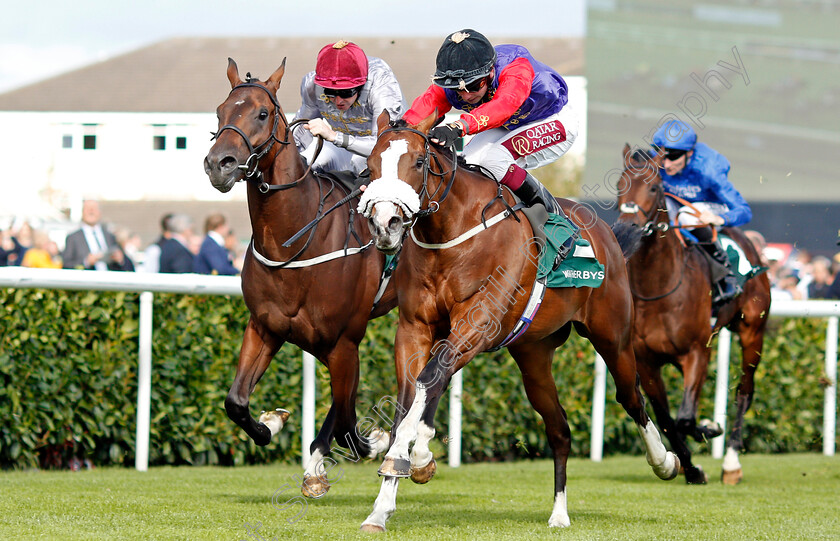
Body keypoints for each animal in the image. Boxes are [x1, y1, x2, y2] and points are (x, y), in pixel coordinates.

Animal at [202, 58, 396, 494]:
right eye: (220, 112)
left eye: (262, 113)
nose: (219, 164)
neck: (293, 240)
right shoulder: (266, 326)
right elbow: (235, 401)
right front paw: (270, 424)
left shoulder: (343, 342)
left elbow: (347, 421)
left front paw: (373, 441)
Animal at [358, 110, 680, 532]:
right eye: (370, 165)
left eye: (417, 162)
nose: (387, 224)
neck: (451, 233)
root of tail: (606, 232)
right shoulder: (414, 329)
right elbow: (412, 394)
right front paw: (384, 501)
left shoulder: (478, 324)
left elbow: (431, 378)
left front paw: (415, 454)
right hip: (533, 356)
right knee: (559, 429)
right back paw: (559, 513)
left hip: (614, 338)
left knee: (630, 397)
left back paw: (665, 461)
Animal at [612, 141, 772, 484]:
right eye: (620, 185)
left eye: (654, 186)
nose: (627, 227)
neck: (659, 286)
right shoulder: (646, 361)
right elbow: (666, 418)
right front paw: (690, 467)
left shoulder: (698, 351)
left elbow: (685, 418)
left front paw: (708, 429)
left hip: (753, 331)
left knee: (744, 391)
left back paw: (731, 462)